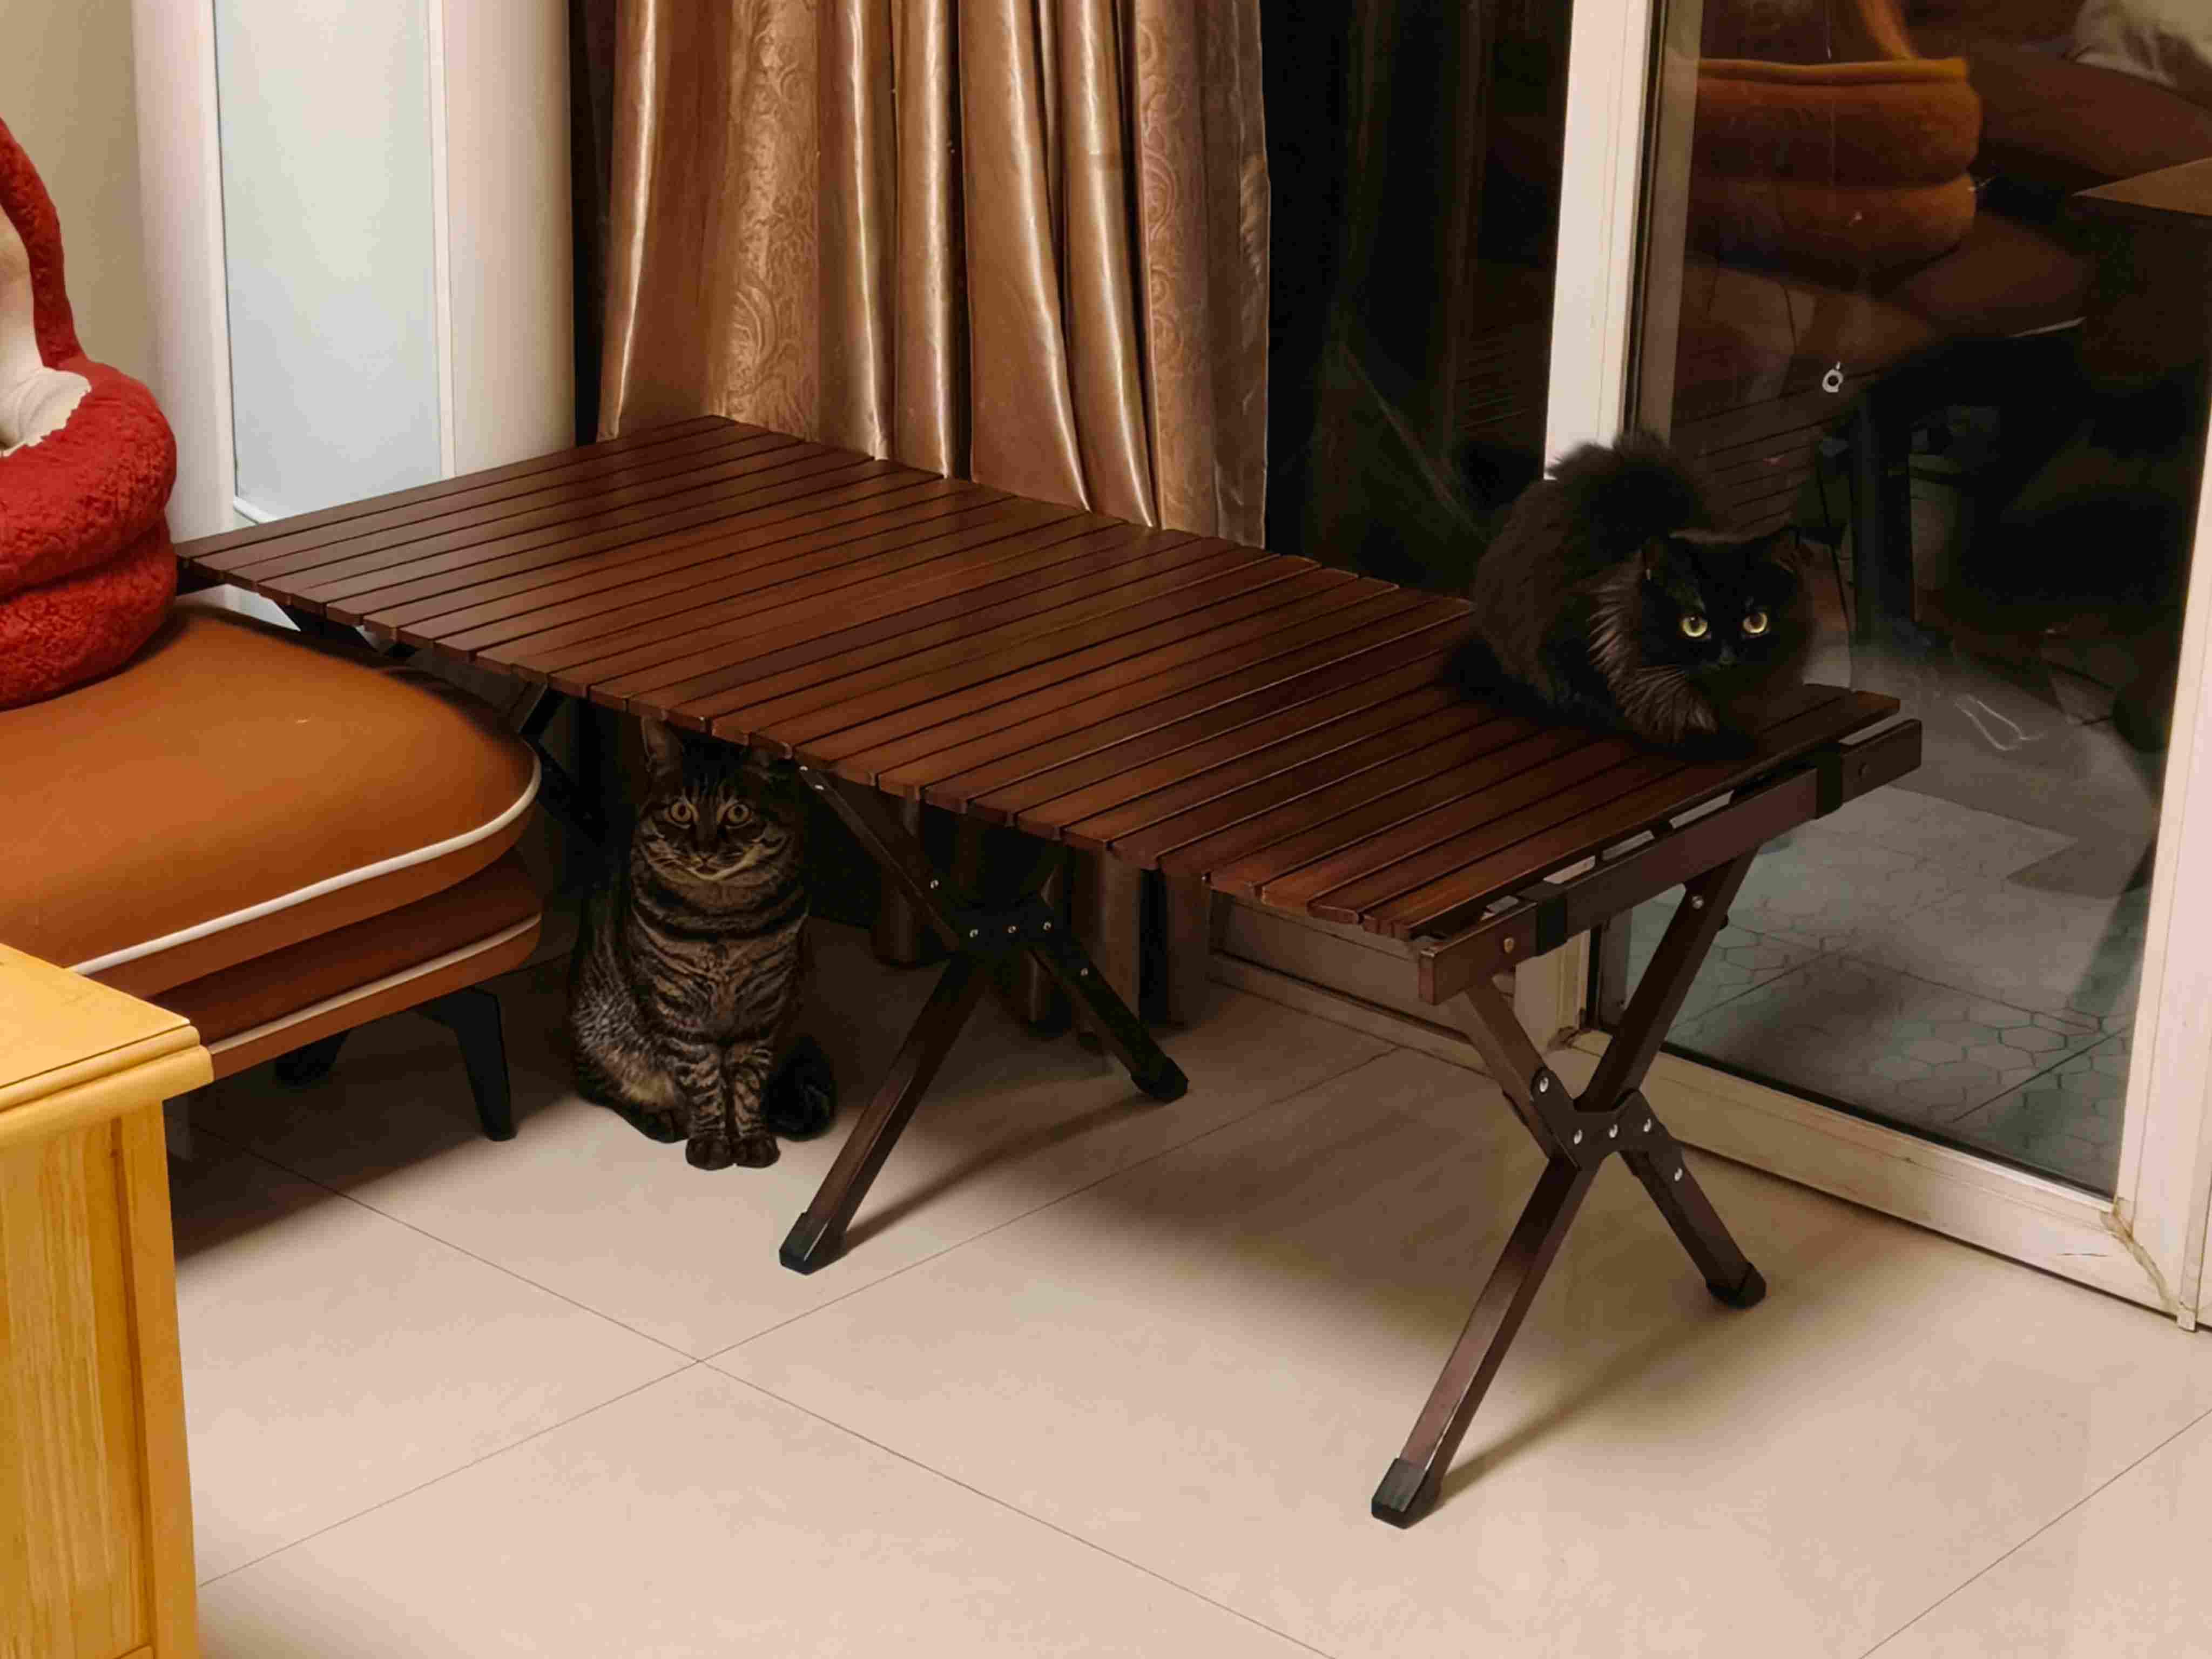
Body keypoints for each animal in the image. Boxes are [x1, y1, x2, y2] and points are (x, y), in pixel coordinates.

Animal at [566, 718, 836, 1170]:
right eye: (681, 811)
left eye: (738, 812)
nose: (705, 850)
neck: (721, 918)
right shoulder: (675, 1004)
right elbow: (701, 1076)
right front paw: (711, 1141)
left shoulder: (763, 1004)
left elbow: (747, 1080)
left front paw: (750, 1137)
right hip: (600, 1029)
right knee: (600, 1085)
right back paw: (661, 1118)